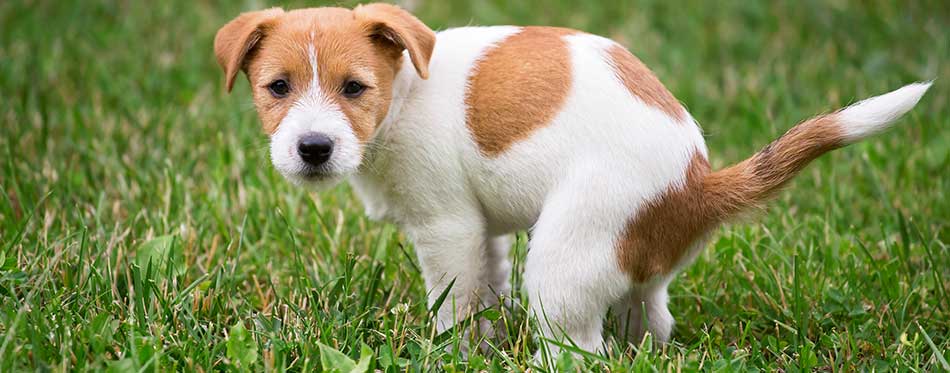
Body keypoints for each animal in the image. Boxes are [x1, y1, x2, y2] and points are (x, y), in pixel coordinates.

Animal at [214, 3, 928, 358]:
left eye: (355, 88)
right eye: (277, 87)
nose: (313, 148)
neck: (406, 91)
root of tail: (697, 183)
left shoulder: (447, 228)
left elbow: (453, 303)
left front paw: (453, 351)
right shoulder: (482, 233)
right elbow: (485, 291)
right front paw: (484, 344)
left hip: (563, 260)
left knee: (582, 350)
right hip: (630, 264)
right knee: (649, 322)